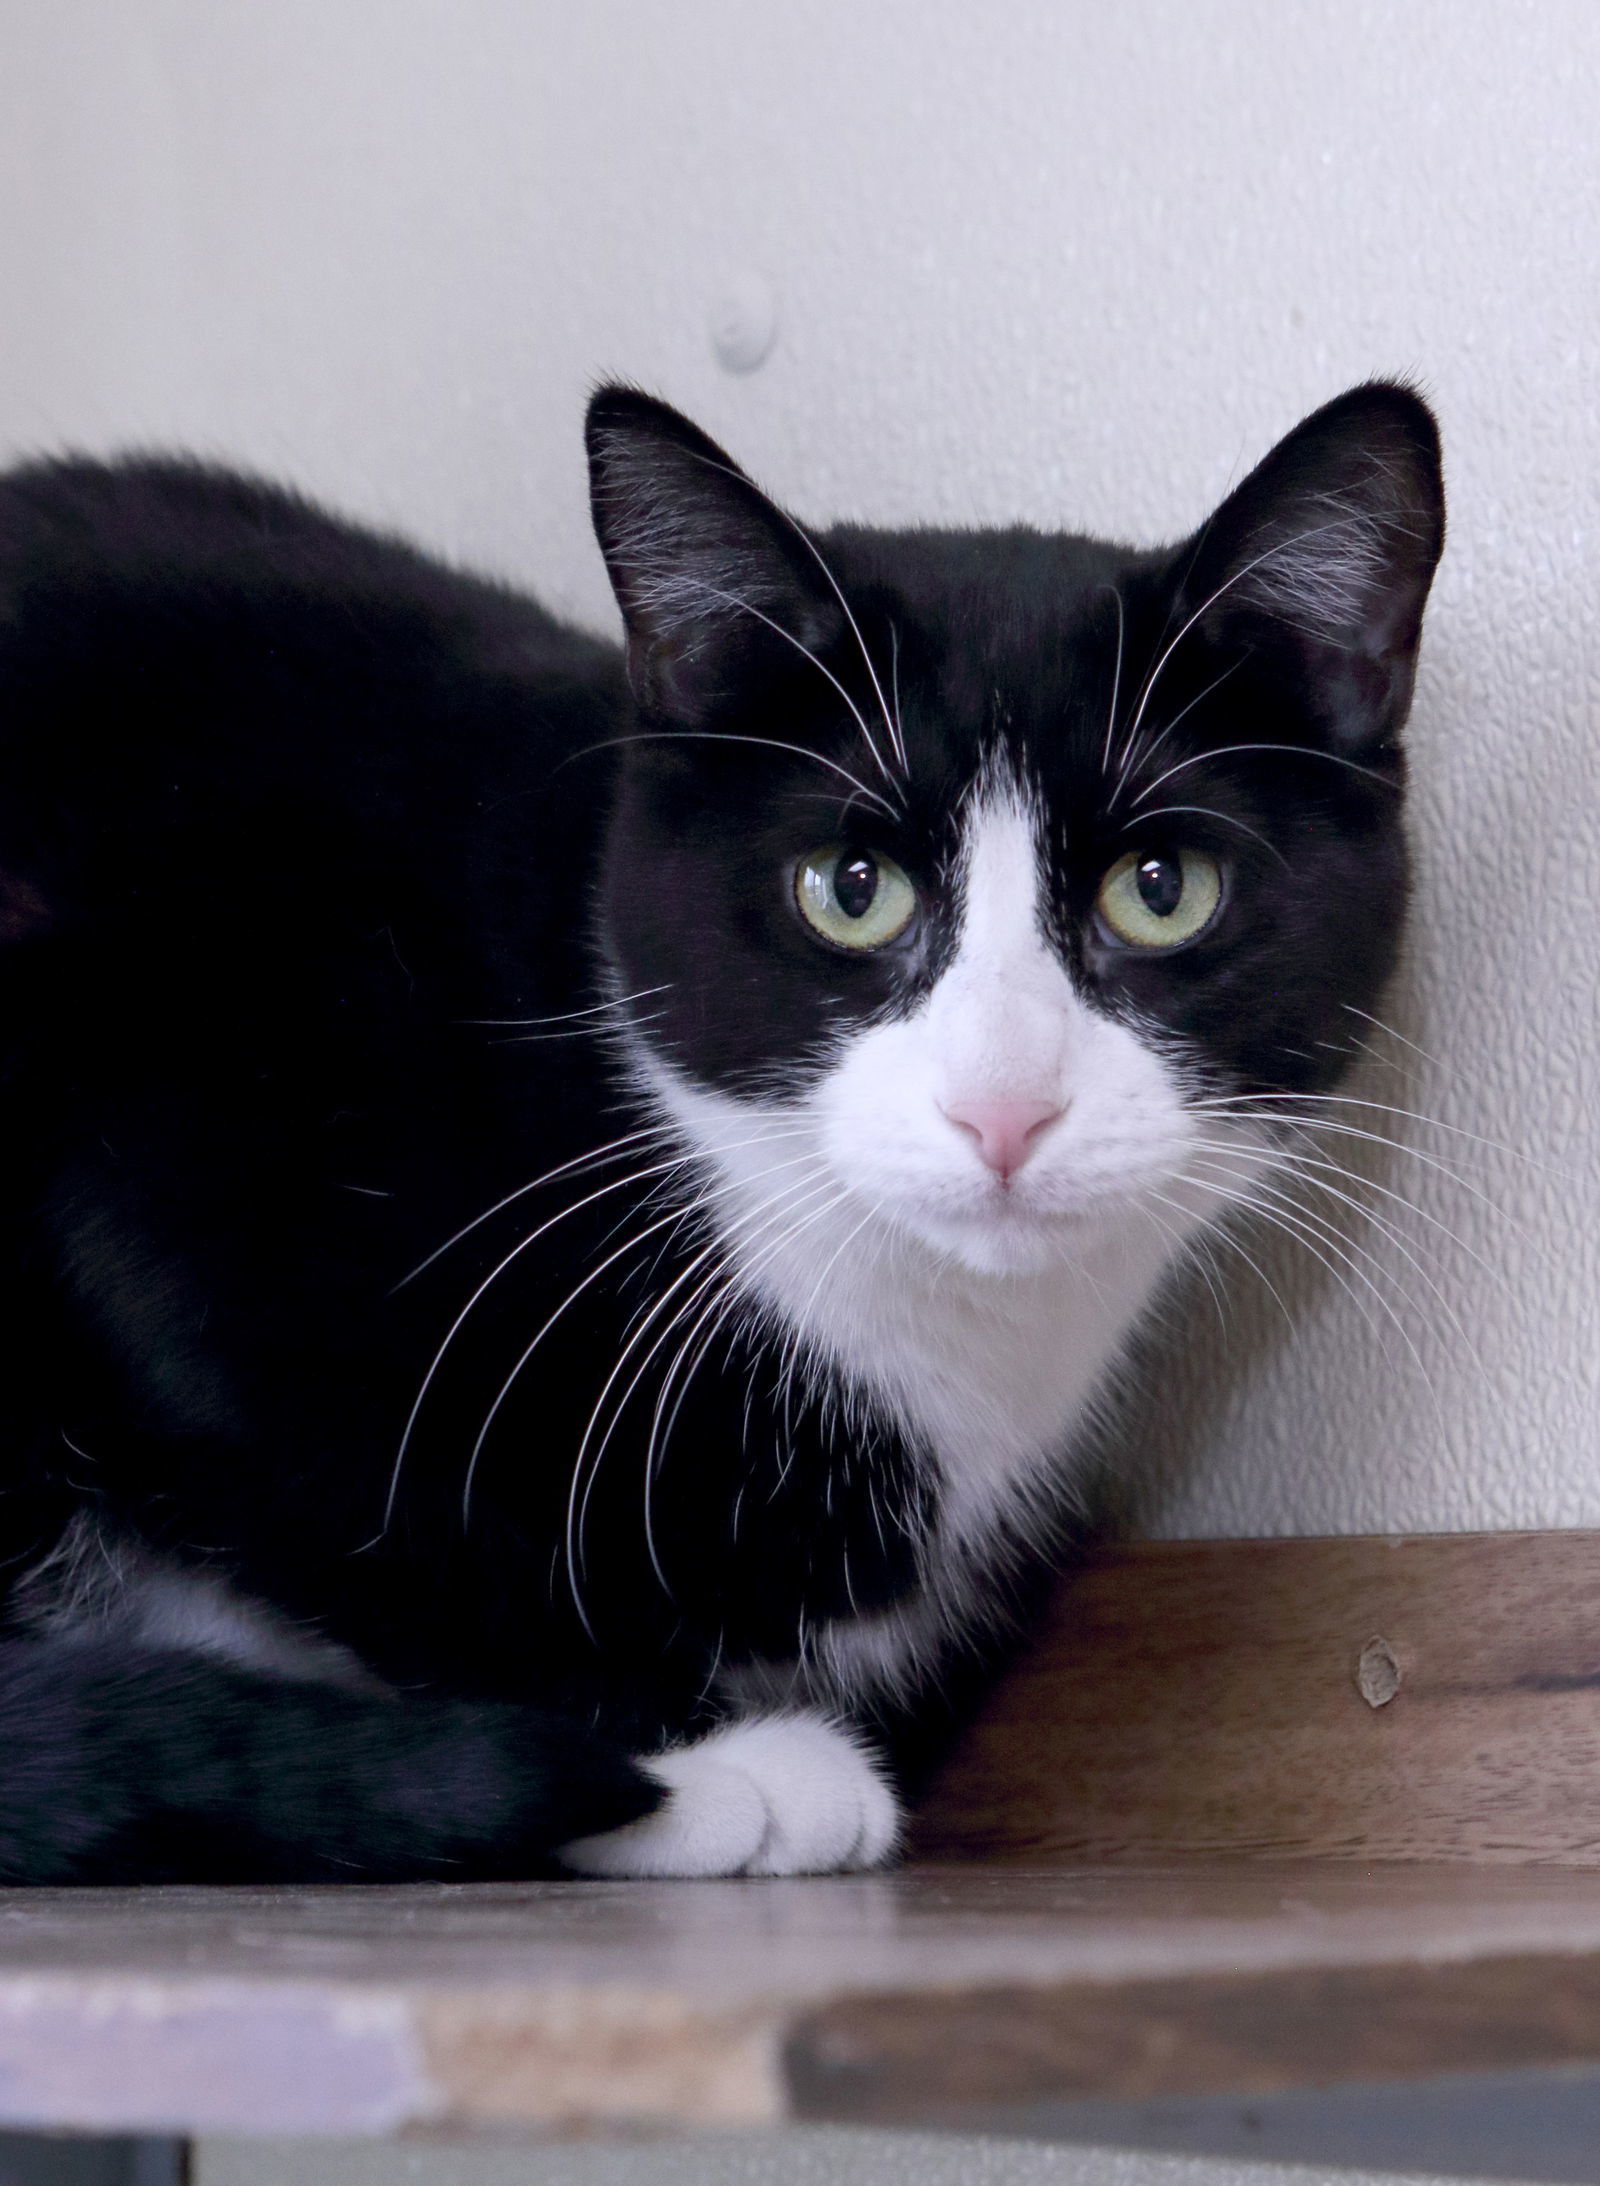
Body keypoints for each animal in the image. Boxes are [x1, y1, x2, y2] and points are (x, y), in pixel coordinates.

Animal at [0, 375, 1433, 1879]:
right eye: (849, 887)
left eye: (1163, 888)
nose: (1002, 1105)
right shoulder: (177, 1163)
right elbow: (376, 1527)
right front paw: (695, 1763)